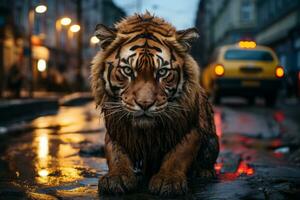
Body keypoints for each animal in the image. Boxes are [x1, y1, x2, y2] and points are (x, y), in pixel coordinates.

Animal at [90, 11, 219, 196]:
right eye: (128, 70)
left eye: (162, 72)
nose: (145, 104)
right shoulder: (117, 128)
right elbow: (116, 155)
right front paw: (116, 178)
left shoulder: (191, 128)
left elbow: (179, 154)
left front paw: (168, 180)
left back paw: (204, 172)